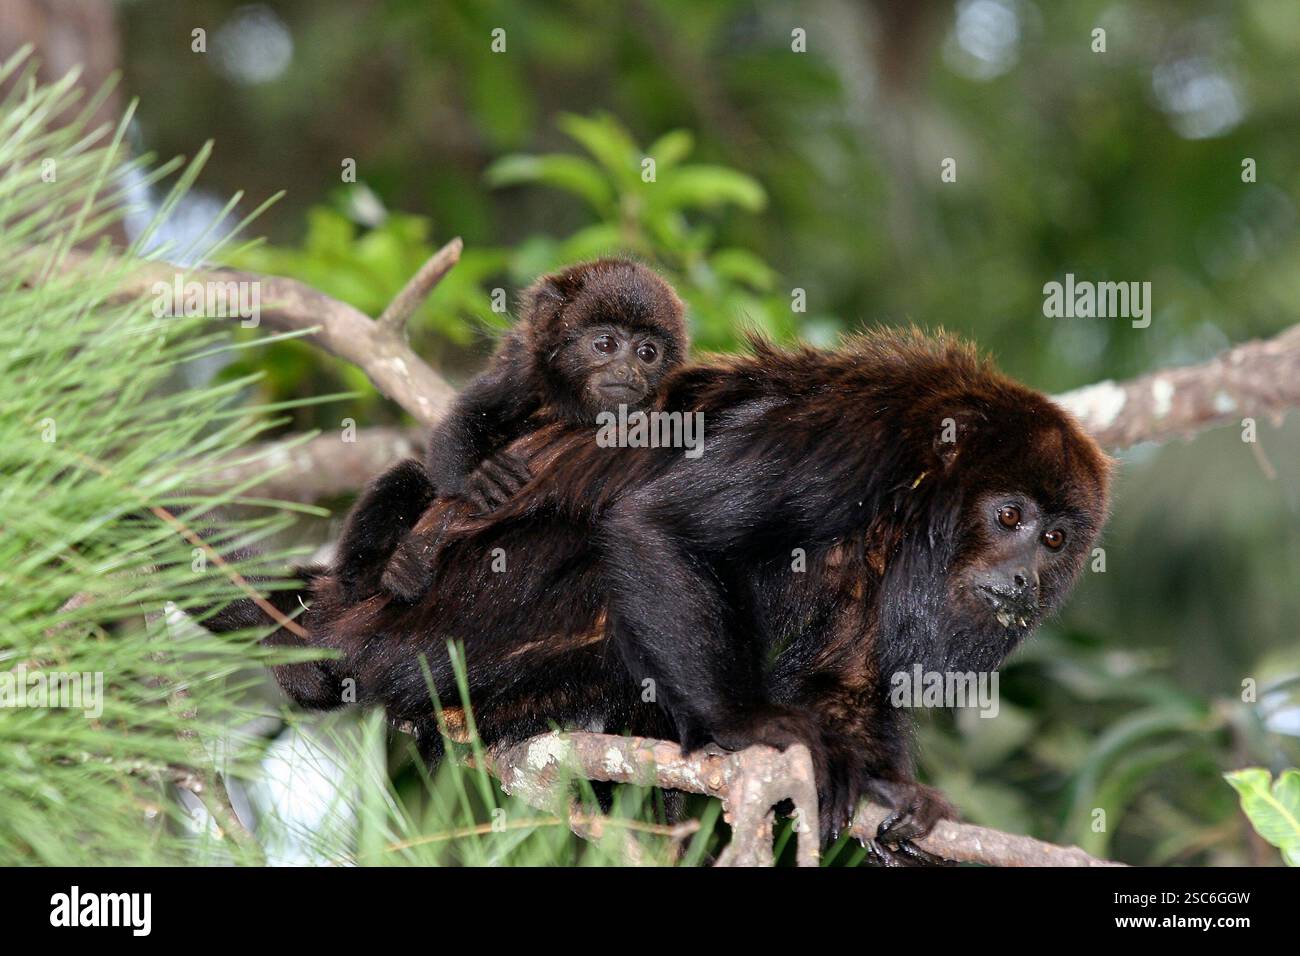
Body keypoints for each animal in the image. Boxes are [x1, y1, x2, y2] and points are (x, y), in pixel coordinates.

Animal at [205, 328, 1111, 861]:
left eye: (1056, 539)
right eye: (1009, 515)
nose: (1027, 577)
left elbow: (856, 675)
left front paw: (889, 784)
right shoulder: (853, 446)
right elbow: (659, 526)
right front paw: (751, 729)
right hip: (477, 605)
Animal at [332, 258, 687, 604]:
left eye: (647, 353)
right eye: (605, 344)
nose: (628, 371)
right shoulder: (522, 368)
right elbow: (461, 421)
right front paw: (479, 476)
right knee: (407, 473)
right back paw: (382, 575)